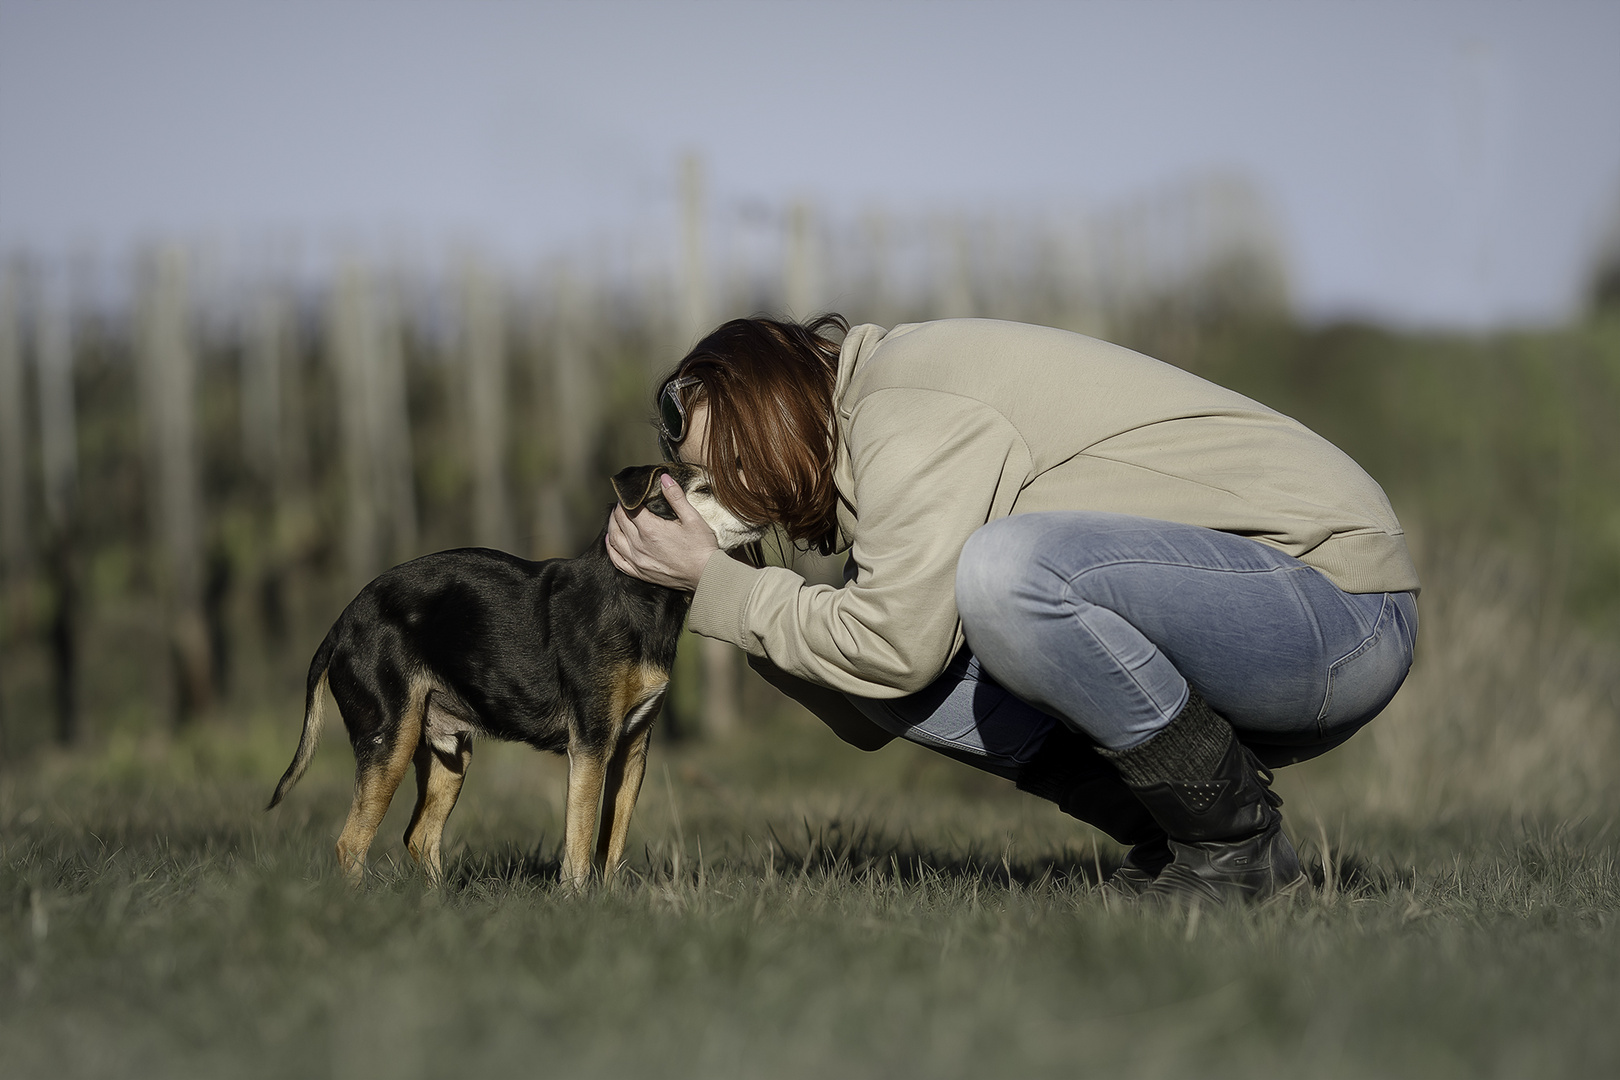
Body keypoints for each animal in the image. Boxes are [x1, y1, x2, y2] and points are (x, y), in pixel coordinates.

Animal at [265, 463, 764, 887]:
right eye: (704, 490)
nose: (761, 500)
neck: (637, 595)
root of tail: (340, 626)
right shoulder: (591, 742)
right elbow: (579, 839)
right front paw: (576, 903)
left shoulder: (632, 748)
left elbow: (612, 842)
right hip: (389, 739)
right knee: (350, 844)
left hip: (448, 753)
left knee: (419, 837)